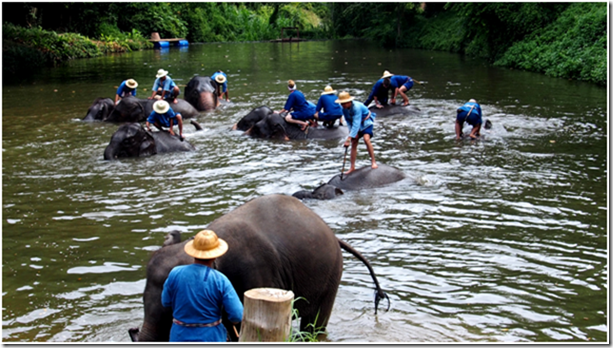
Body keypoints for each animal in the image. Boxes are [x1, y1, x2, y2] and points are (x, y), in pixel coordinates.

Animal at [128, 194, 388, 342]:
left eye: (169, 307)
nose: (133, 331)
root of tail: (335, 236)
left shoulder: (254, 273)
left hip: (330, 273)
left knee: (314, 323)